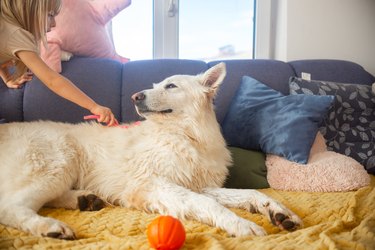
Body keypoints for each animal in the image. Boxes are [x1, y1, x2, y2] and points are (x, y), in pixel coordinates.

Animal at [0, 62, 302, 238]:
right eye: (157, 85)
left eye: (171, 85)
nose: (136, 96)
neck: (187, 135)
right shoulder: (152, 183)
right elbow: (208, 203)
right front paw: (241, 225)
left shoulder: (196, 184)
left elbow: (247, 194)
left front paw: (279, 212)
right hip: (57, 164)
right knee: (10, 207)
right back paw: (51, 227)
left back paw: (85, 200)